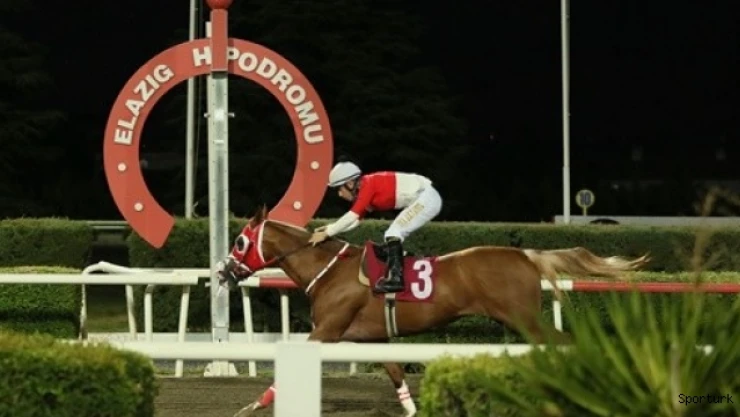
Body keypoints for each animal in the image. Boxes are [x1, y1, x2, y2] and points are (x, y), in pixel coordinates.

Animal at [220, 205, 649, 417]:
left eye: (240, 241)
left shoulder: (327, 330)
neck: (330, 271)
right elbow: (396, 374)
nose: (224, 271)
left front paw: (248, 407)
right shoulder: (375, 338)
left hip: (522, 318)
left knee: (563, 343)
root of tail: (526, 255)